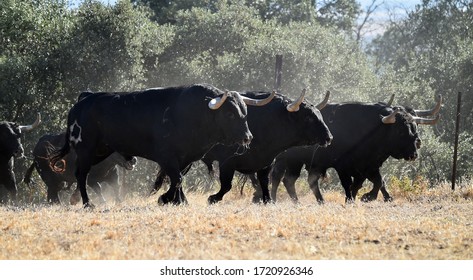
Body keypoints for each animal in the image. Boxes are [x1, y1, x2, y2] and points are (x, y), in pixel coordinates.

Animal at [49, 82, 272, 206]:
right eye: (229, 114)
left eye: (244, 111)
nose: (247, 137)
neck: (194, 113)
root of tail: (84, 100)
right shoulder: (167, 157)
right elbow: (176, 179)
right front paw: (165, 199)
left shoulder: (185, 159)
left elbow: (178, 179)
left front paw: (179, 201)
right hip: (85, 149)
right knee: (82, 175)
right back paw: (87, 204)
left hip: (100, 151)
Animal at [154, 88, 332, 202]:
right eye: (308, 117)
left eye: (319, 114)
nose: (329, 137)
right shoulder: (227, 162)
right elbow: (226, 185)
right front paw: (213, 198)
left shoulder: (266, 163)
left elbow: (264, 183)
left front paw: (267, 200)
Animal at [270, 95, 442, 202]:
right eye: (400, 130)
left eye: (415, 127)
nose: (414, 152)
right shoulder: (343, 166)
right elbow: (350, 184)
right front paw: (353, 199)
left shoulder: (369, 166)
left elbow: (377, 182)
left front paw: (369, 197)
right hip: (287, 160)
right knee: (280, 178)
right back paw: (275, 200)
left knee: (300, 181)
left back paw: (317, 201)